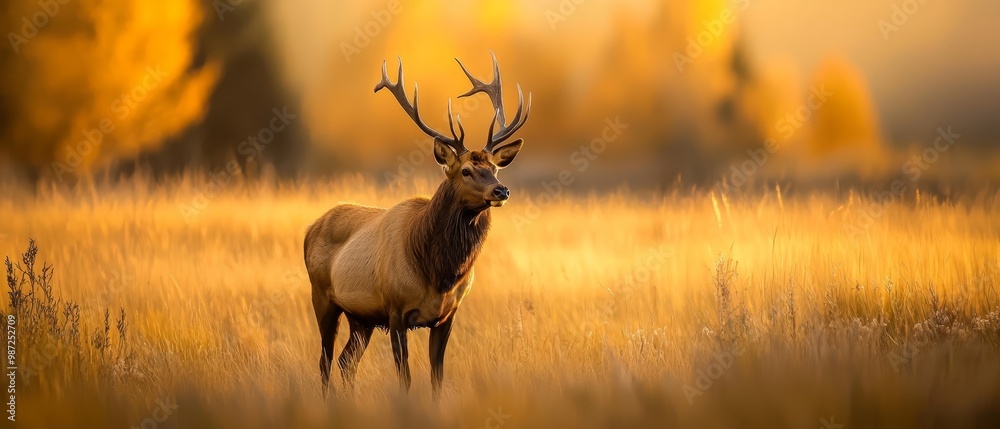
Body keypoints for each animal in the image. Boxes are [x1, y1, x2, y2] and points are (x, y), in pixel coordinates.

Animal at [303, 52, 530, 396]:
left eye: (494, 168)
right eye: (465, 170)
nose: (501, 191)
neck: (437, 273)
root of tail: (309, 230)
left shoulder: (447, 315)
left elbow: (437, 378)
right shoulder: (395, 311)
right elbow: (406, 379)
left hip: (361, 317)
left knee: (346, 362)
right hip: (322, 297)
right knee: (325, 362)